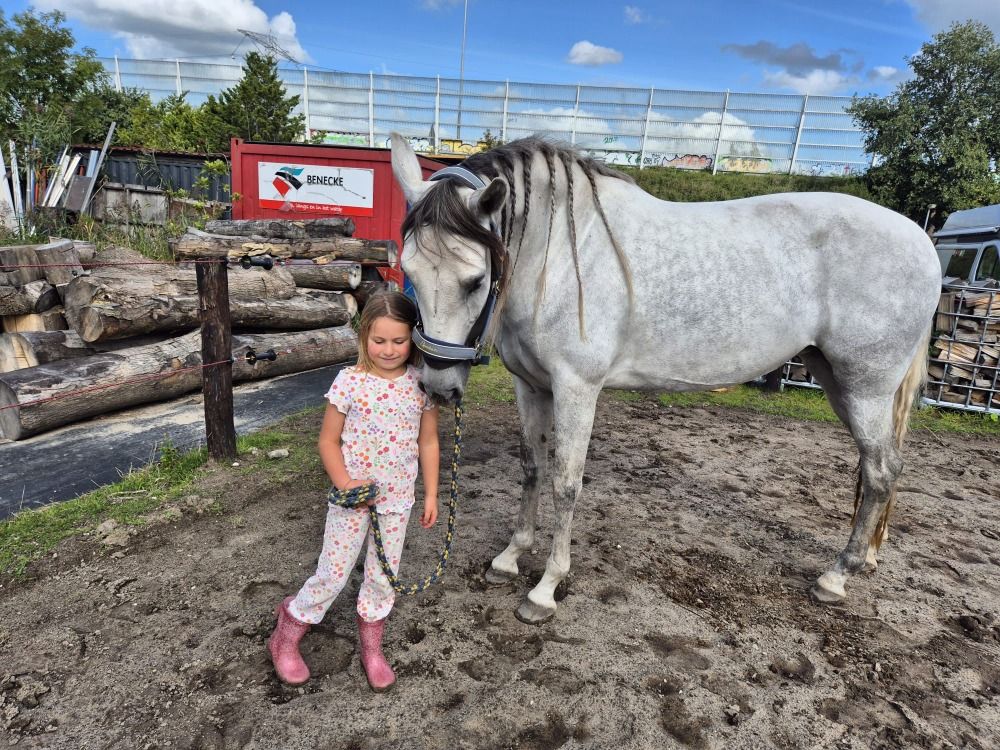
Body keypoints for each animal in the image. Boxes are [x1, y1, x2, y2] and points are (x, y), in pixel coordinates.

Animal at [389, 132, 942, 624]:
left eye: (475, 280)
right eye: (409, 273)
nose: (438, 387)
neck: (558, 253)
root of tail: (923, 242)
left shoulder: (577, 388)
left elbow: (566, 482)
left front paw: (545, 588)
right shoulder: (532, 386)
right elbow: (531, 468)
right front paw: (509, 558)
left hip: (865, 389)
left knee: (881, 470)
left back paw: (836, 576)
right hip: (837, 380)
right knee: (879, 471)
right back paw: (865, 557)